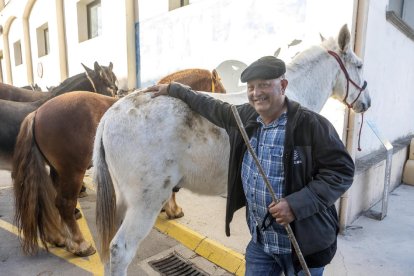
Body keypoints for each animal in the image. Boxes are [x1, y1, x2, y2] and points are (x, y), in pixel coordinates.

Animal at [11, 68, 226, 258]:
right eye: (222, 90)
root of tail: (37, 113)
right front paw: (173, 210)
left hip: (59, 172)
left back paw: (65, 240)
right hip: (72, 172)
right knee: (64, 204)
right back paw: (80, 244)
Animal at [93, 24, 368, 274]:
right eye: (359, 65)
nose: (367, 102)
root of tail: (109, 115)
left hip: (123, 199)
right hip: (144, 202)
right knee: (120, 250)